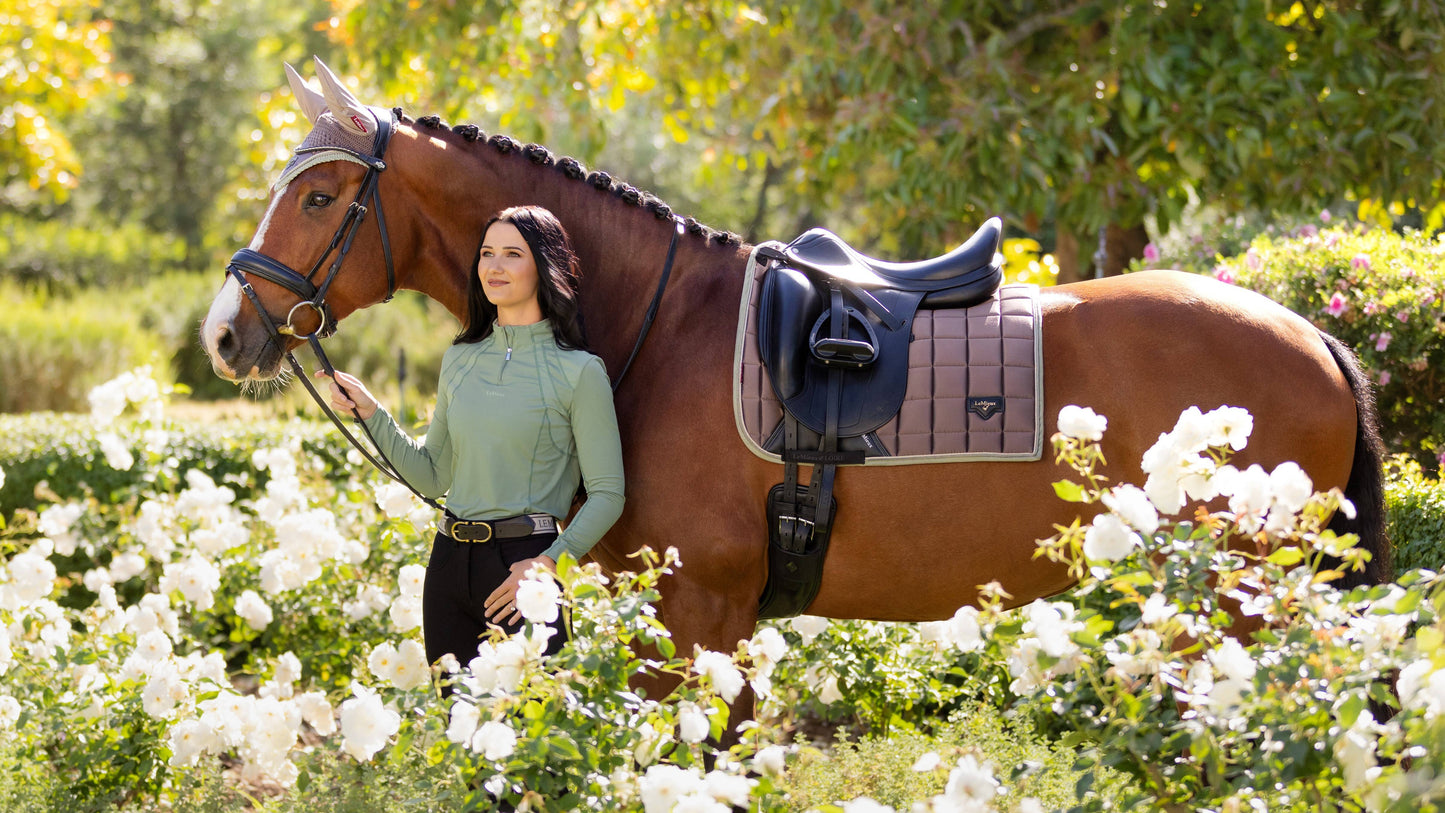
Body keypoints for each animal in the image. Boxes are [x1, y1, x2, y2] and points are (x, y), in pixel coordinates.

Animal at [200, 63, 1387, 684]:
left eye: (318, 197)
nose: (223, 333)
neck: (658, 329)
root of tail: (1315, 340)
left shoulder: (699, 612)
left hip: (1237, 602)